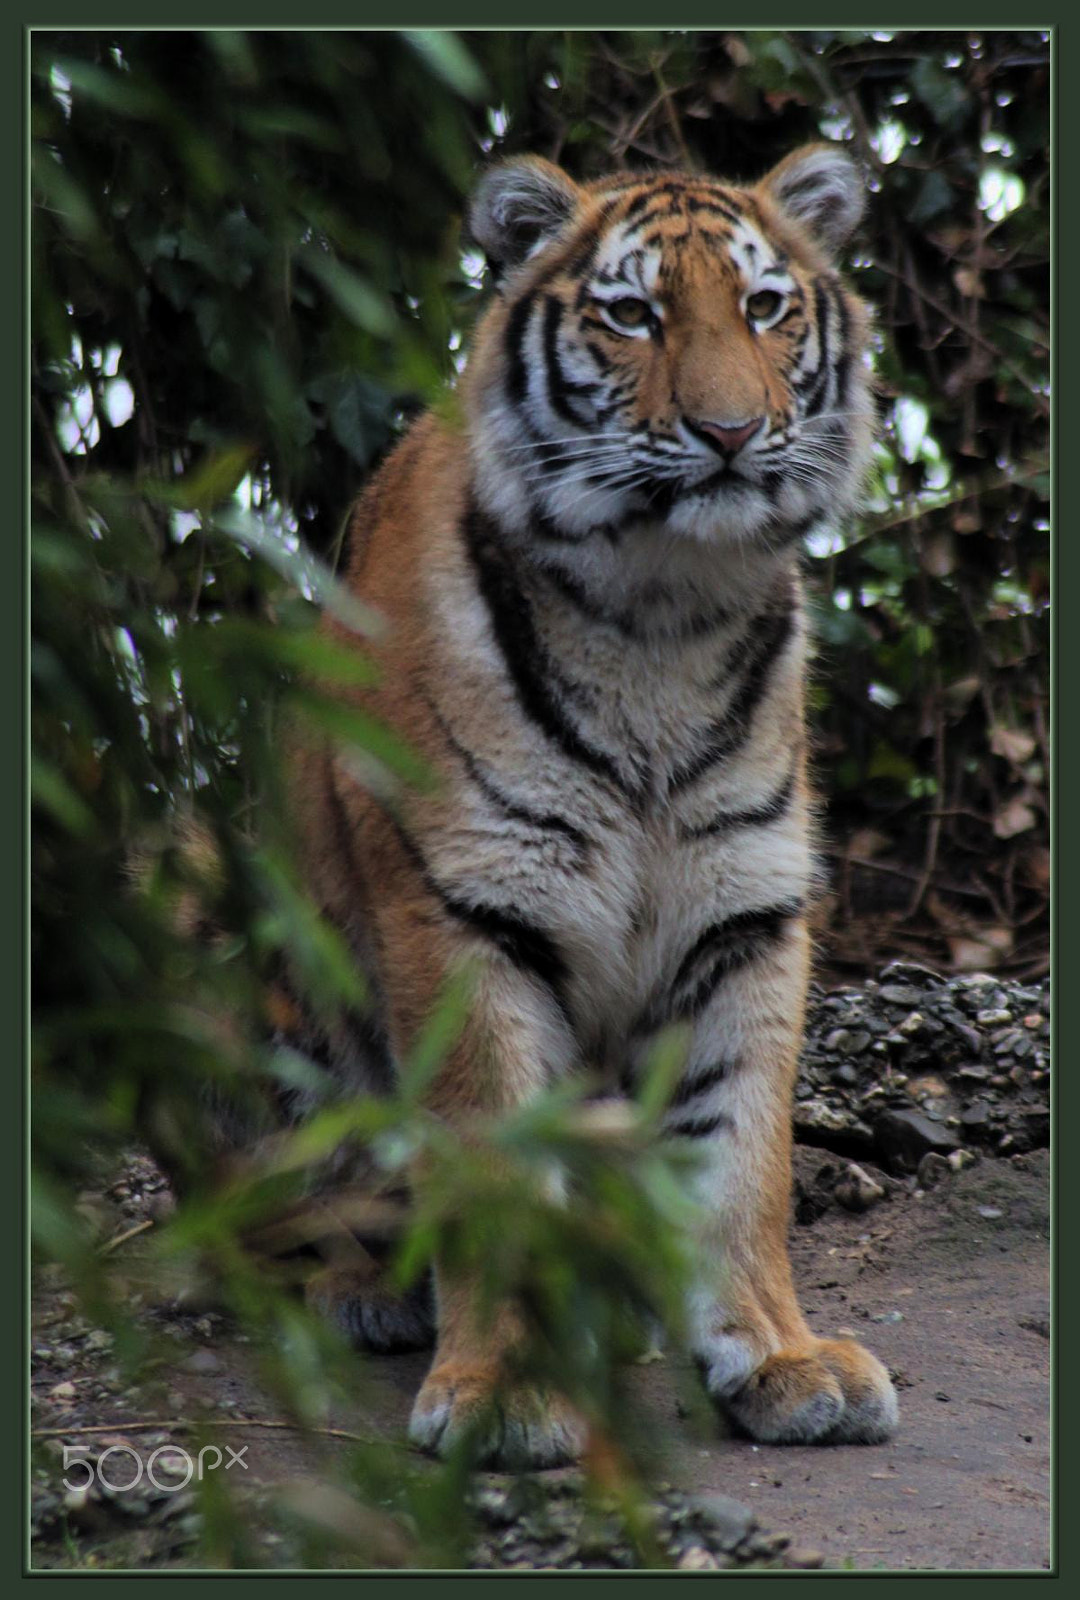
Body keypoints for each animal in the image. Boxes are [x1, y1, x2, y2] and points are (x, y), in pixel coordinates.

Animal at [284, 144, 896, 1465]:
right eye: (634, 316)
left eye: (764, 308)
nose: (729, 431)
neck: (664, 616)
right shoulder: (465, 909)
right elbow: (491, 1157)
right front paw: (505, 1391)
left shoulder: (745, 908)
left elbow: (745, 1158)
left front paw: (781, 1356)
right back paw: (365, 1286)